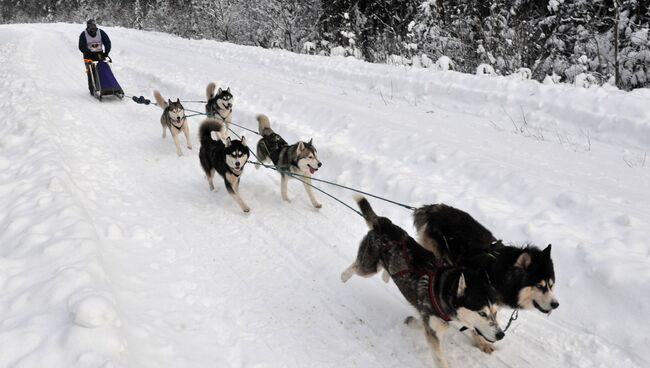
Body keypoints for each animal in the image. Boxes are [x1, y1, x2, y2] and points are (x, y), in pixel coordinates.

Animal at [342, 197, 504, 366]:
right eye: (482, 313)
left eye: (495, 312)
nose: (501, 335)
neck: (442, 288)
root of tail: (384, 224)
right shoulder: (434, 329)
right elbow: (440, 359)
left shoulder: (432, 322)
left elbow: (424, 323)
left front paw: (412, 322)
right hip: (368, 268)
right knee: (355, 267)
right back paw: (344, 277)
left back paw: (386, 275)